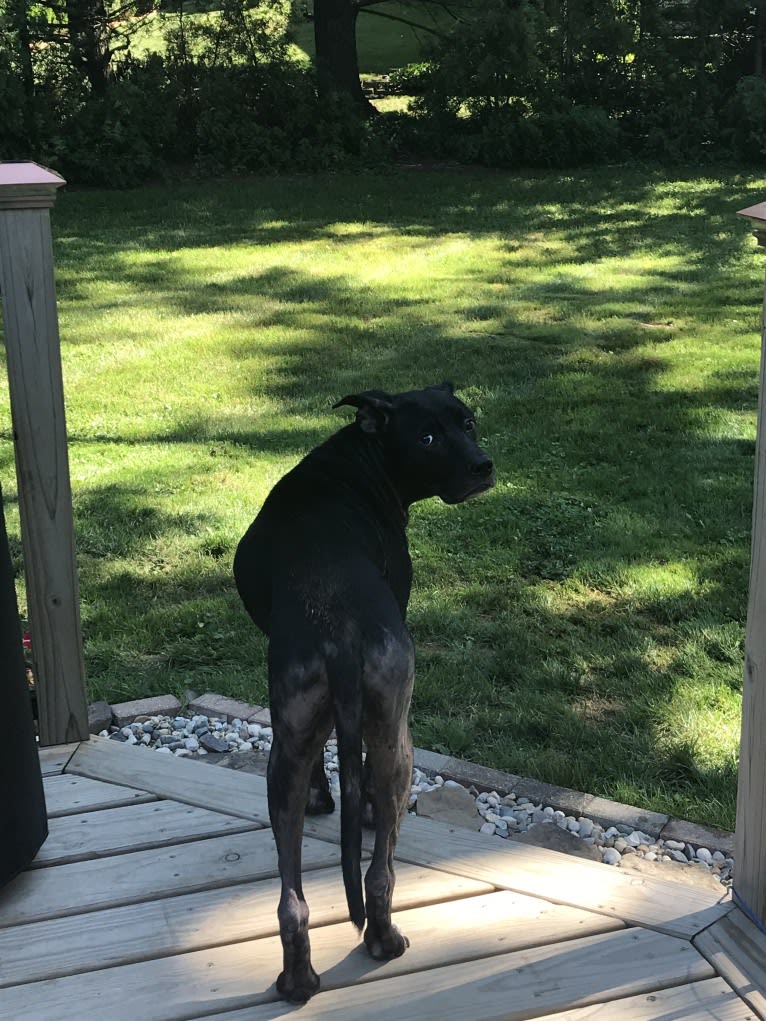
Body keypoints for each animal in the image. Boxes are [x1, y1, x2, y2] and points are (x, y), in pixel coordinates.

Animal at [235, 381, 498, 996]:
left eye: (468, 422)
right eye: (427, 437)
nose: (483, 466)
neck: (358, 459)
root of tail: (339, 625)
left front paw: (321, 798)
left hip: (288, 737)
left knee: (293, 901)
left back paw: (299, 977)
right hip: (397, 735)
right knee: (380, 868)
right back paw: (383, 938)